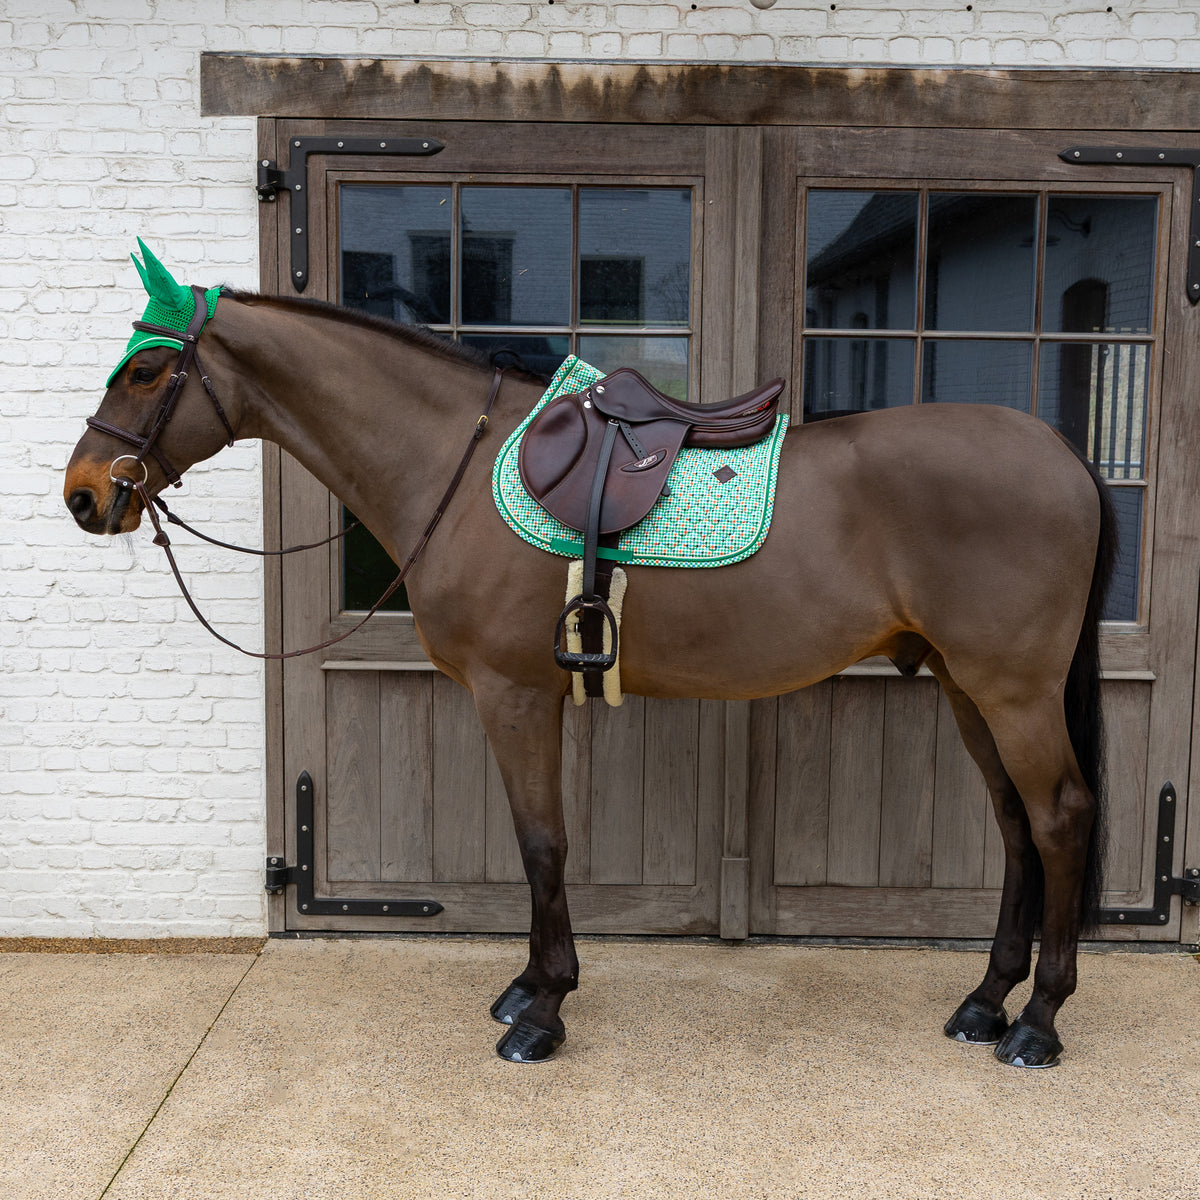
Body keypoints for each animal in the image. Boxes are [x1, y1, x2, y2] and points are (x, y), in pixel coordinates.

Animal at [65, 254, 1115, 1069]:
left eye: (149, 370)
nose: (82, 494)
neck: (455, 462)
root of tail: (1064, 453)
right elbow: (539, 842)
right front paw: (529, 984)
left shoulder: (515, 694)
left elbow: (543, 843)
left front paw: (543, 1010)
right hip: (966, 684)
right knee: (1016, 826)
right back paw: (985, 1003)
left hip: (1012, 691)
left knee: (1060, 818)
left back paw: (1039, 1022)